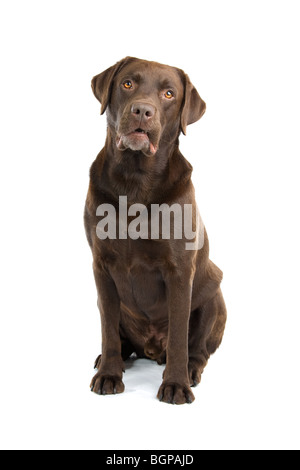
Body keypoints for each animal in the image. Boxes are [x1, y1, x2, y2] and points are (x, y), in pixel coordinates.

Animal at [83, 57, 226, 404]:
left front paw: (175, 384)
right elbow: (108, 330)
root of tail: (150, 348)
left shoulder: (180, 270)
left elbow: (178, 337)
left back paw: (190, 370)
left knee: (198, 349)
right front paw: (109, 374)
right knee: (118, 336)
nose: (142, 111)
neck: (135, 182)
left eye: (169, 94)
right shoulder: (101, 266)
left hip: (214, 293)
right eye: (128, 84)